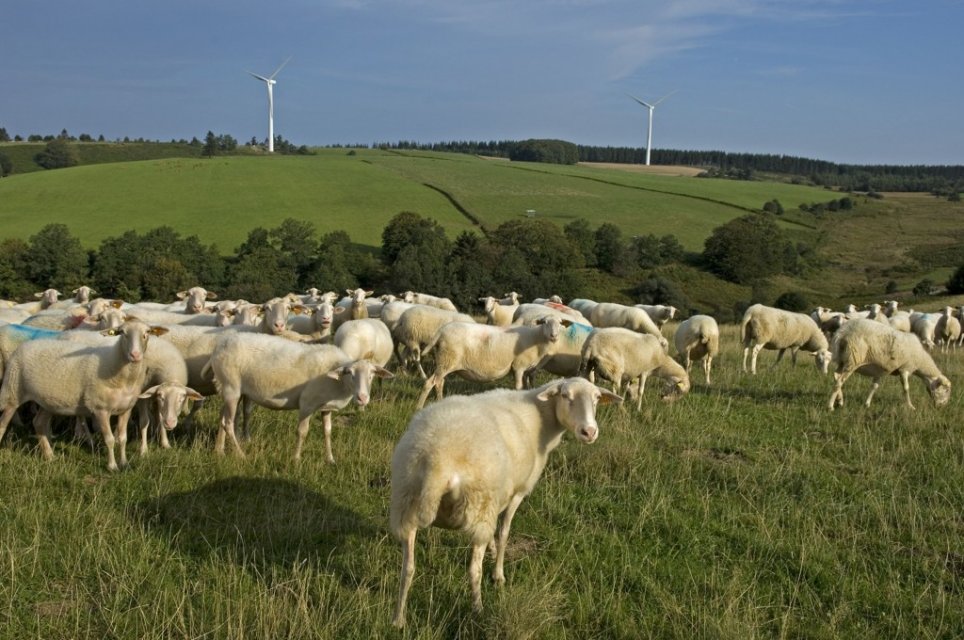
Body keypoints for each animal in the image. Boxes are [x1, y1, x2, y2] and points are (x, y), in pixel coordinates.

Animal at [0, 320, 169, 470]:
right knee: (3, 424)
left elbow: (122, 439)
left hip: (47, 402)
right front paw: (112, 466)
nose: (135, 355)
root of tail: (24, 345)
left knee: (38, 423)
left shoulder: (125, 409)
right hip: (12, 393)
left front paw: (124, 463)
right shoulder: (100, 409)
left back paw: (49, 456)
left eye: (147, 333)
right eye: (122, 333)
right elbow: (109, 439)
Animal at [206, 332, 392, 462]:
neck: (338, 383)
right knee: (228, 423)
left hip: (231, 389)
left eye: (372, 375)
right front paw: (296, 459)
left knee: (222, 419)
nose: (362, 398)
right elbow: (302, 432)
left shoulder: (326, 408)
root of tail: (220, 346)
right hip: (231, 387)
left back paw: (219, 451)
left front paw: (330, 459)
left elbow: (327, 432)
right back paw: (241, 455)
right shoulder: (307, 404)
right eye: (350, 373)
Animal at [392, 378, 624, 628]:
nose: (589, 431)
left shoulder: (501, 494)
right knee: (473, 570)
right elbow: (503, 533)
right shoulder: (518, 492)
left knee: (408, 569)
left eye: (597, 398)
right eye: (565, 395)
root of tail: (438, 463)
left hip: (406, 505)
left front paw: (493, 552)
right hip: (479, 506)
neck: (541, 418)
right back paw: (478, 609)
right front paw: (499, 574)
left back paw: (398, 619)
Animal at [416, 316, 572, 410]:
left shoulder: (527, 370)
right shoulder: (518, 366)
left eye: (560, 323)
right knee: (430, 383)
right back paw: (419, 406)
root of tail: (442, 330)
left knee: (439, 382)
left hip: (445, 361)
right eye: (545, 322)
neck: (537, 339)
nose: (554, 336)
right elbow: (518, 387)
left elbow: (528, 387)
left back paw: (439, 402)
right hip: (447, 359)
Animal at [824, 318, 952, 410]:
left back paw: (840, 400)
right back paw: (830, 406)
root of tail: (842, 332)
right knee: (840, 381)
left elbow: (874, 387)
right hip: (853, 360)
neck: (920, 360)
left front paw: (867, 404)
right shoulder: (905, 368)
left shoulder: (880, 371)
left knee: (836, 376)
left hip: (842, 360)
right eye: (946, 390)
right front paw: (910, 406)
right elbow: (906, 388)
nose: (942, 407)